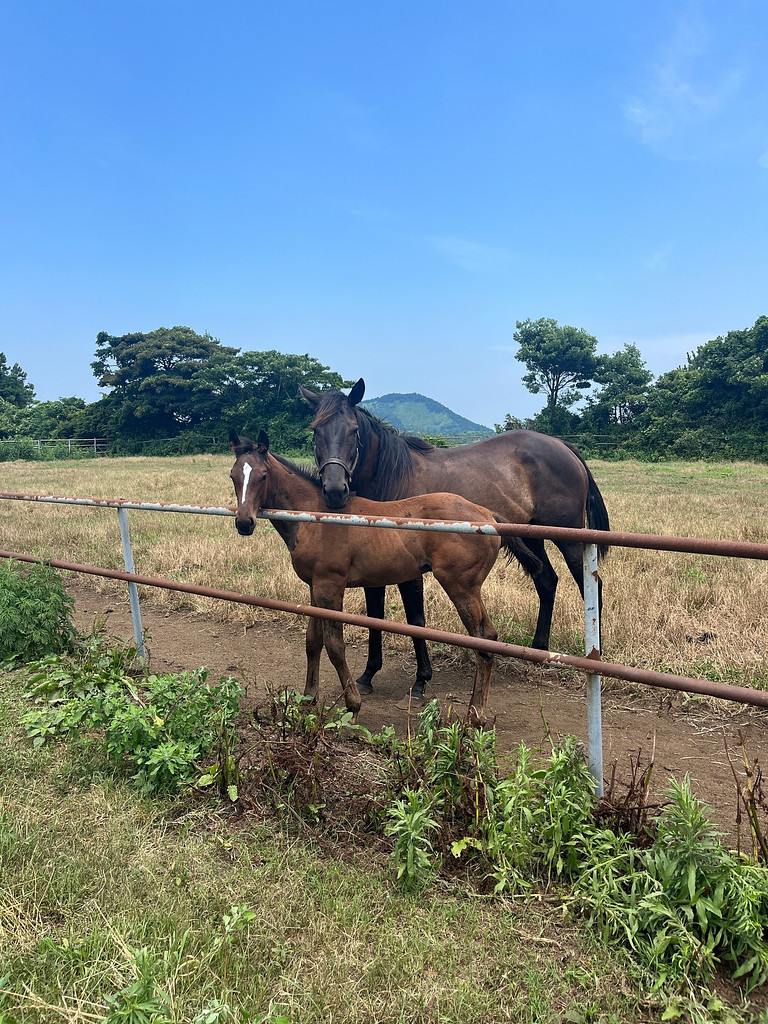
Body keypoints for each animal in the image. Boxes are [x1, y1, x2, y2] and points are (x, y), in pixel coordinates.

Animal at [230, 428, 548, 724]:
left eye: (262, 476)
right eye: (233, 476)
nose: (244, 523)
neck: (315, 516)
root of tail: (488, 516)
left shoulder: (330, 585)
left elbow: (335, 645)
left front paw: (353, 705)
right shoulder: (314, 587)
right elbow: (312, 642)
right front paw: (308, 698)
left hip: (462, 587)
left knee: (482, 641)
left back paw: (476, 714)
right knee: (490, 636)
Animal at [303, 378, 614, 696]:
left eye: (353, 431)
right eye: (316, 431)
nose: (334, 490)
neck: (391, 477)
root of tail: (563, 445)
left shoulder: (410, 570)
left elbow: (415, 619)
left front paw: (421, 679)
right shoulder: (374, 565)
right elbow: (374, 616)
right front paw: (368, 674)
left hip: (570, 540)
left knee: (592, 587)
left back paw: (596, 658)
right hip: (532, 537)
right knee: (547, 582)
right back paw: (538, 649)